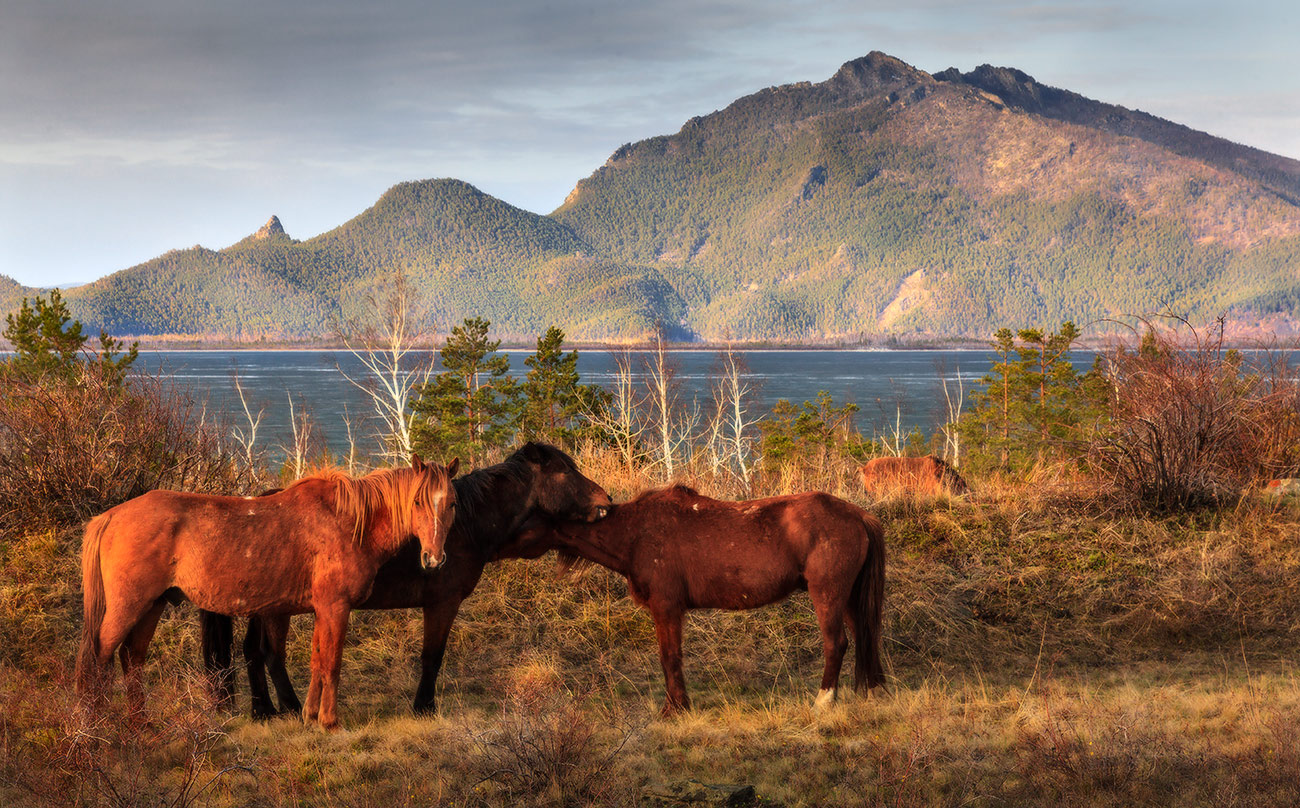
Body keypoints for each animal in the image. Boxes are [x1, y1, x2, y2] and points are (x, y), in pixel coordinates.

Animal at [76, 457, 460, 732]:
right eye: (418, 501)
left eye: (452, 503)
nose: (434, 558)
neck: (346, 522)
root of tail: (111, 516)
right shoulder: (336, 607)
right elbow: (331, 662)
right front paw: (330, 722)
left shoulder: (322, 609)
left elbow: (317, 660)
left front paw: (309, 715)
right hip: (129, 606)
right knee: (100, 654)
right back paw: (94, 725)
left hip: (153, 605)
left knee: (132, 657)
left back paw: (141, 724)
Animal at [198, 446, 613, 717]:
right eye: (565, 472)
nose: (606, 501)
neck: (466, 527)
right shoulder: (443, 603)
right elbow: (433, 656)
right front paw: (424, 706)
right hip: (275, 610)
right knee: (269, 654)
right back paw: (287, 708)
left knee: (253, 652)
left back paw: (264, 710)